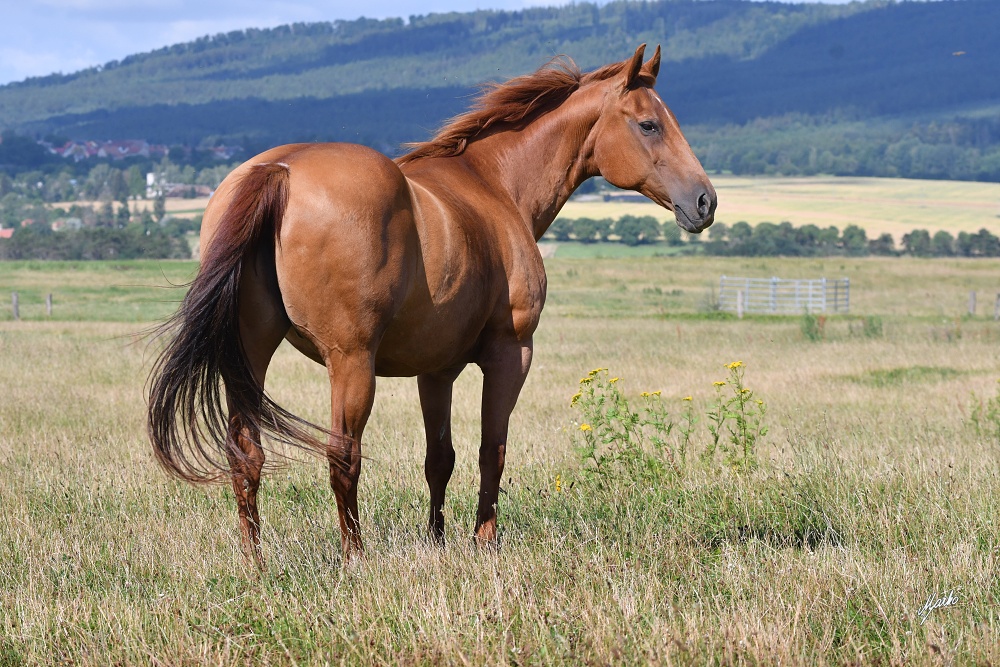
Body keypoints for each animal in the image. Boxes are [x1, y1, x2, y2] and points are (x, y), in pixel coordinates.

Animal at [146, 44, 712, 564]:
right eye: (648, 125)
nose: (705, 201)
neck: (494, 185)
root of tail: (280, 171)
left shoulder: (435, 371)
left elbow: (439, 457)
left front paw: (436, 539)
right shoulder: (511, 354)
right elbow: (491, 451)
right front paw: (485, 541)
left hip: (250, 356)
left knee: (247, 453)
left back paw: (256, 561)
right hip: (351, 363)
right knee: (343, 455)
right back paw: (354, 556)